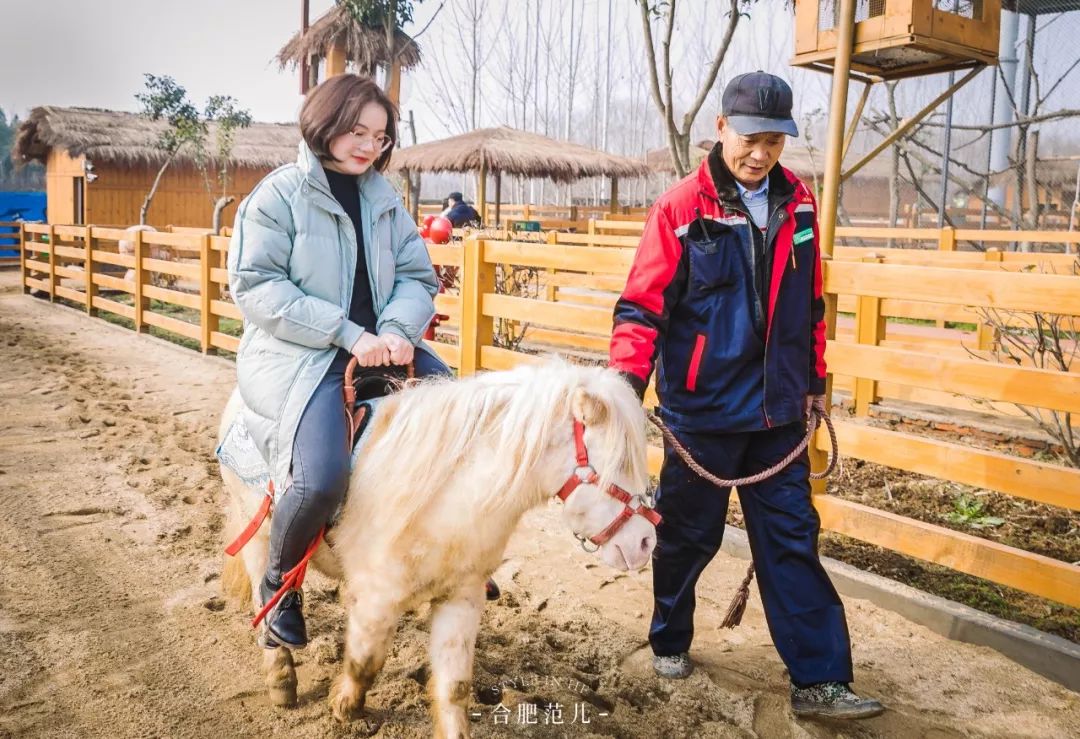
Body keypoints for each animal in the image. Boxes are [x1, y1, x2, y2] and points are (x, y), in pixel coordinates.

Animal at [219, 360, 656, 734]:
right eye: (619, 463)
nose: (646, 542)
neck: (447, 496)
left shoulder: (461, 598)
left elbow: (454, 687)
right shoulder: (379, 598)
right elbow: (365, 662)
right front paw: (346, 709)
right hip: (257, 536)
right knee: (267, 594)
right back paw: (281, 678)